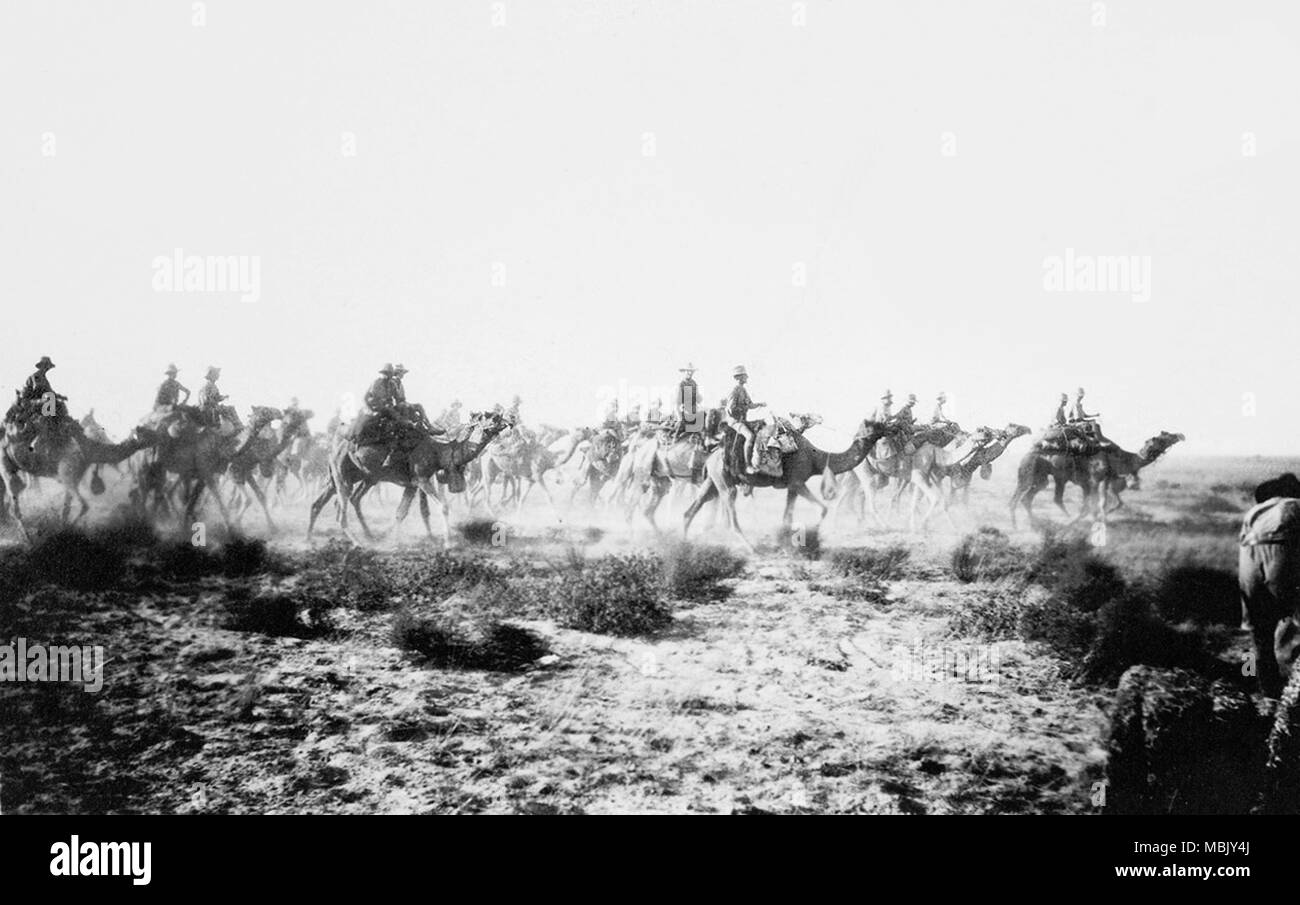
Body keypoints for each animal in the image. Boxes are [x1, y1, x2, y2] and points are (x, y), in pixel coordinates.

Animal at [0, 416, 158, 538]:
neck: (87, 450)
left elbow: (66, 509)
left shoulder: (73, 478)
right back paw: (28, 539)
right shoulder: (67, 474)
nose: (159, 435)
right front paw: (64, 530)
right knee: (14, 500)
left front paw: (62, 529)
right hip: (5, 462)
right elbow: (84, 506)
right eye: (146, 433)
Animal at [305, 410, 512, 543]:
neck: (438, 451)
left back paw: (311, 538)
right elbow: (443, 507)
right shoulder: (421, 478)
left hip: (354, 475)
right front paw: (447, 543)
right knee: (341, 508)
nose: (509, 420)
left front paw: (394, 540)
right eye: (490, 416)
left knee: (324, 502)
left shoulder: (412, 484)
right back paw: (358, 542)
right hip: (343, 474)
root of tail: (334, 443)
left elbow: (401, 513)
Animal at [681, 418, 904, 551]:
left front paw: (787, 542)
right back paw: (750, 547)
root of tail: (711, 455)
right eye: (878, 424)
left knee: (693, 507)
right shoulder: (798, 482)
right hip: (725, 482)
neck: (816, 458)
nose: (894, 427)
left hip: (712, 480)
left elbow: (787, 517)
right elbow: (823, 509)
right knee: (729, 510)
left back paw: (683, 543)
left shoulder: (792, 486)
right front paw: (812, 536)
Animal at [1003, 426, 1190, 527]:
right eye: (1164, 436)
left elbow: (1108, 503)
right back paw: (1016, 526)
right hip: (1029, 471)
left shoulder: (1101, 481)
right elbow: (1092, 505)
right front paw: (1075, 523)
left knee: (1030, 498)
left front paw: (1099, 519)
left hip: (1044, 477)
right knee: (1016, 498)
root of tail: (1029, 451)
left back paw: (1036, 524)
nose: (1181, 435)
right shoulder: (1094, 480)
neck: (1119, 457)